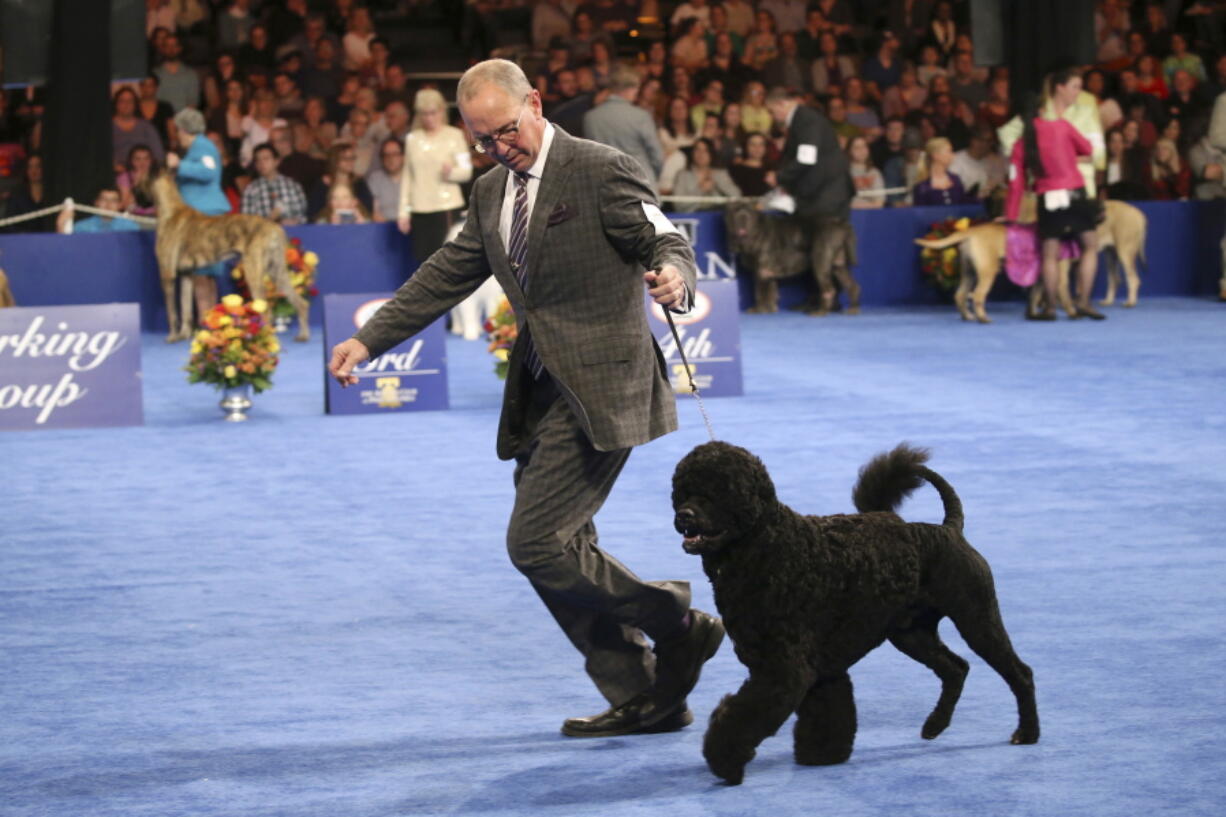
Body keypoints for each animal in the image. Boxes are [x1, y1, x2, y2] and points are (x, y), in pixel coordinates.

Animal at [150, 172, 308, 341]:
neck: (171, 208)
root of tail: (274, 227)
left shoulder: (167, 275)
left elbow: (171, 312)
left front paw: (172, 337)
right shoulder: (186, 274)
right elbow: (185, 308)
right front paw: (184, 335)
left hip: (254, 273)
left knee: (267, 311)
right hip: (277, 272)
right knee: (300, 303)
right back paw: (303, 335)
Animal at [676, 439, 1039, 785]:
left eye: (719, 491)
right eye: (683, 489)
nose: (685, 515)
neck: (764, 545)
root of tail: (950, 529)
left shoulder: (783, 668)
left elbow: (739, 718)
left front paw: (725, 763)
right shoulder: (815, 665)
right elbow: (827, 709)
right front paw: (822, 754)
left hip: (977, 619)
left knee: (1019, 673)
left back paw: (1027, 733)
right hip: (911, 633)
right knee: (956, 668)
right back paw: (934, 726)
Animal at [725, 202, 863, 316]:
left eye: (749, 211)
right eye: (734, 211)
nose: (743, 216)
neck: (756, 230)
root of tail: (840, 222)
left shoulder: (761, 271)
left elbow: (760, 292)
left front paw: (759, 310)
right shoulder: (767, 273)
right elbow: (771, 292)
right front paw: (771, 309)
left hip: (820, 261)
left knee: (829, 290)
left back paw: (820, 312)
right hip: (838, 266)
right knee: (852, 286)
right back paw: (853, 309)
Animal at [917, 197, 1142, 321]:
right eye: (1088, 203)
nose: (1103, 204)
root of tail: (970, 232)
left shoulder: (1041, 279)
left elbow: (1034, 297)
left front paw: (1035, 314)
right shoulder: (1060, 277)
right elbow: (1065, 297)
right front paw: (1072, 313)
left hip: (969, 273)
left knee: (960, 295)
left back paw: (968, 316)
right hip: (987, 272)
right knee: (978, 296)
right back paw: (983, 318)